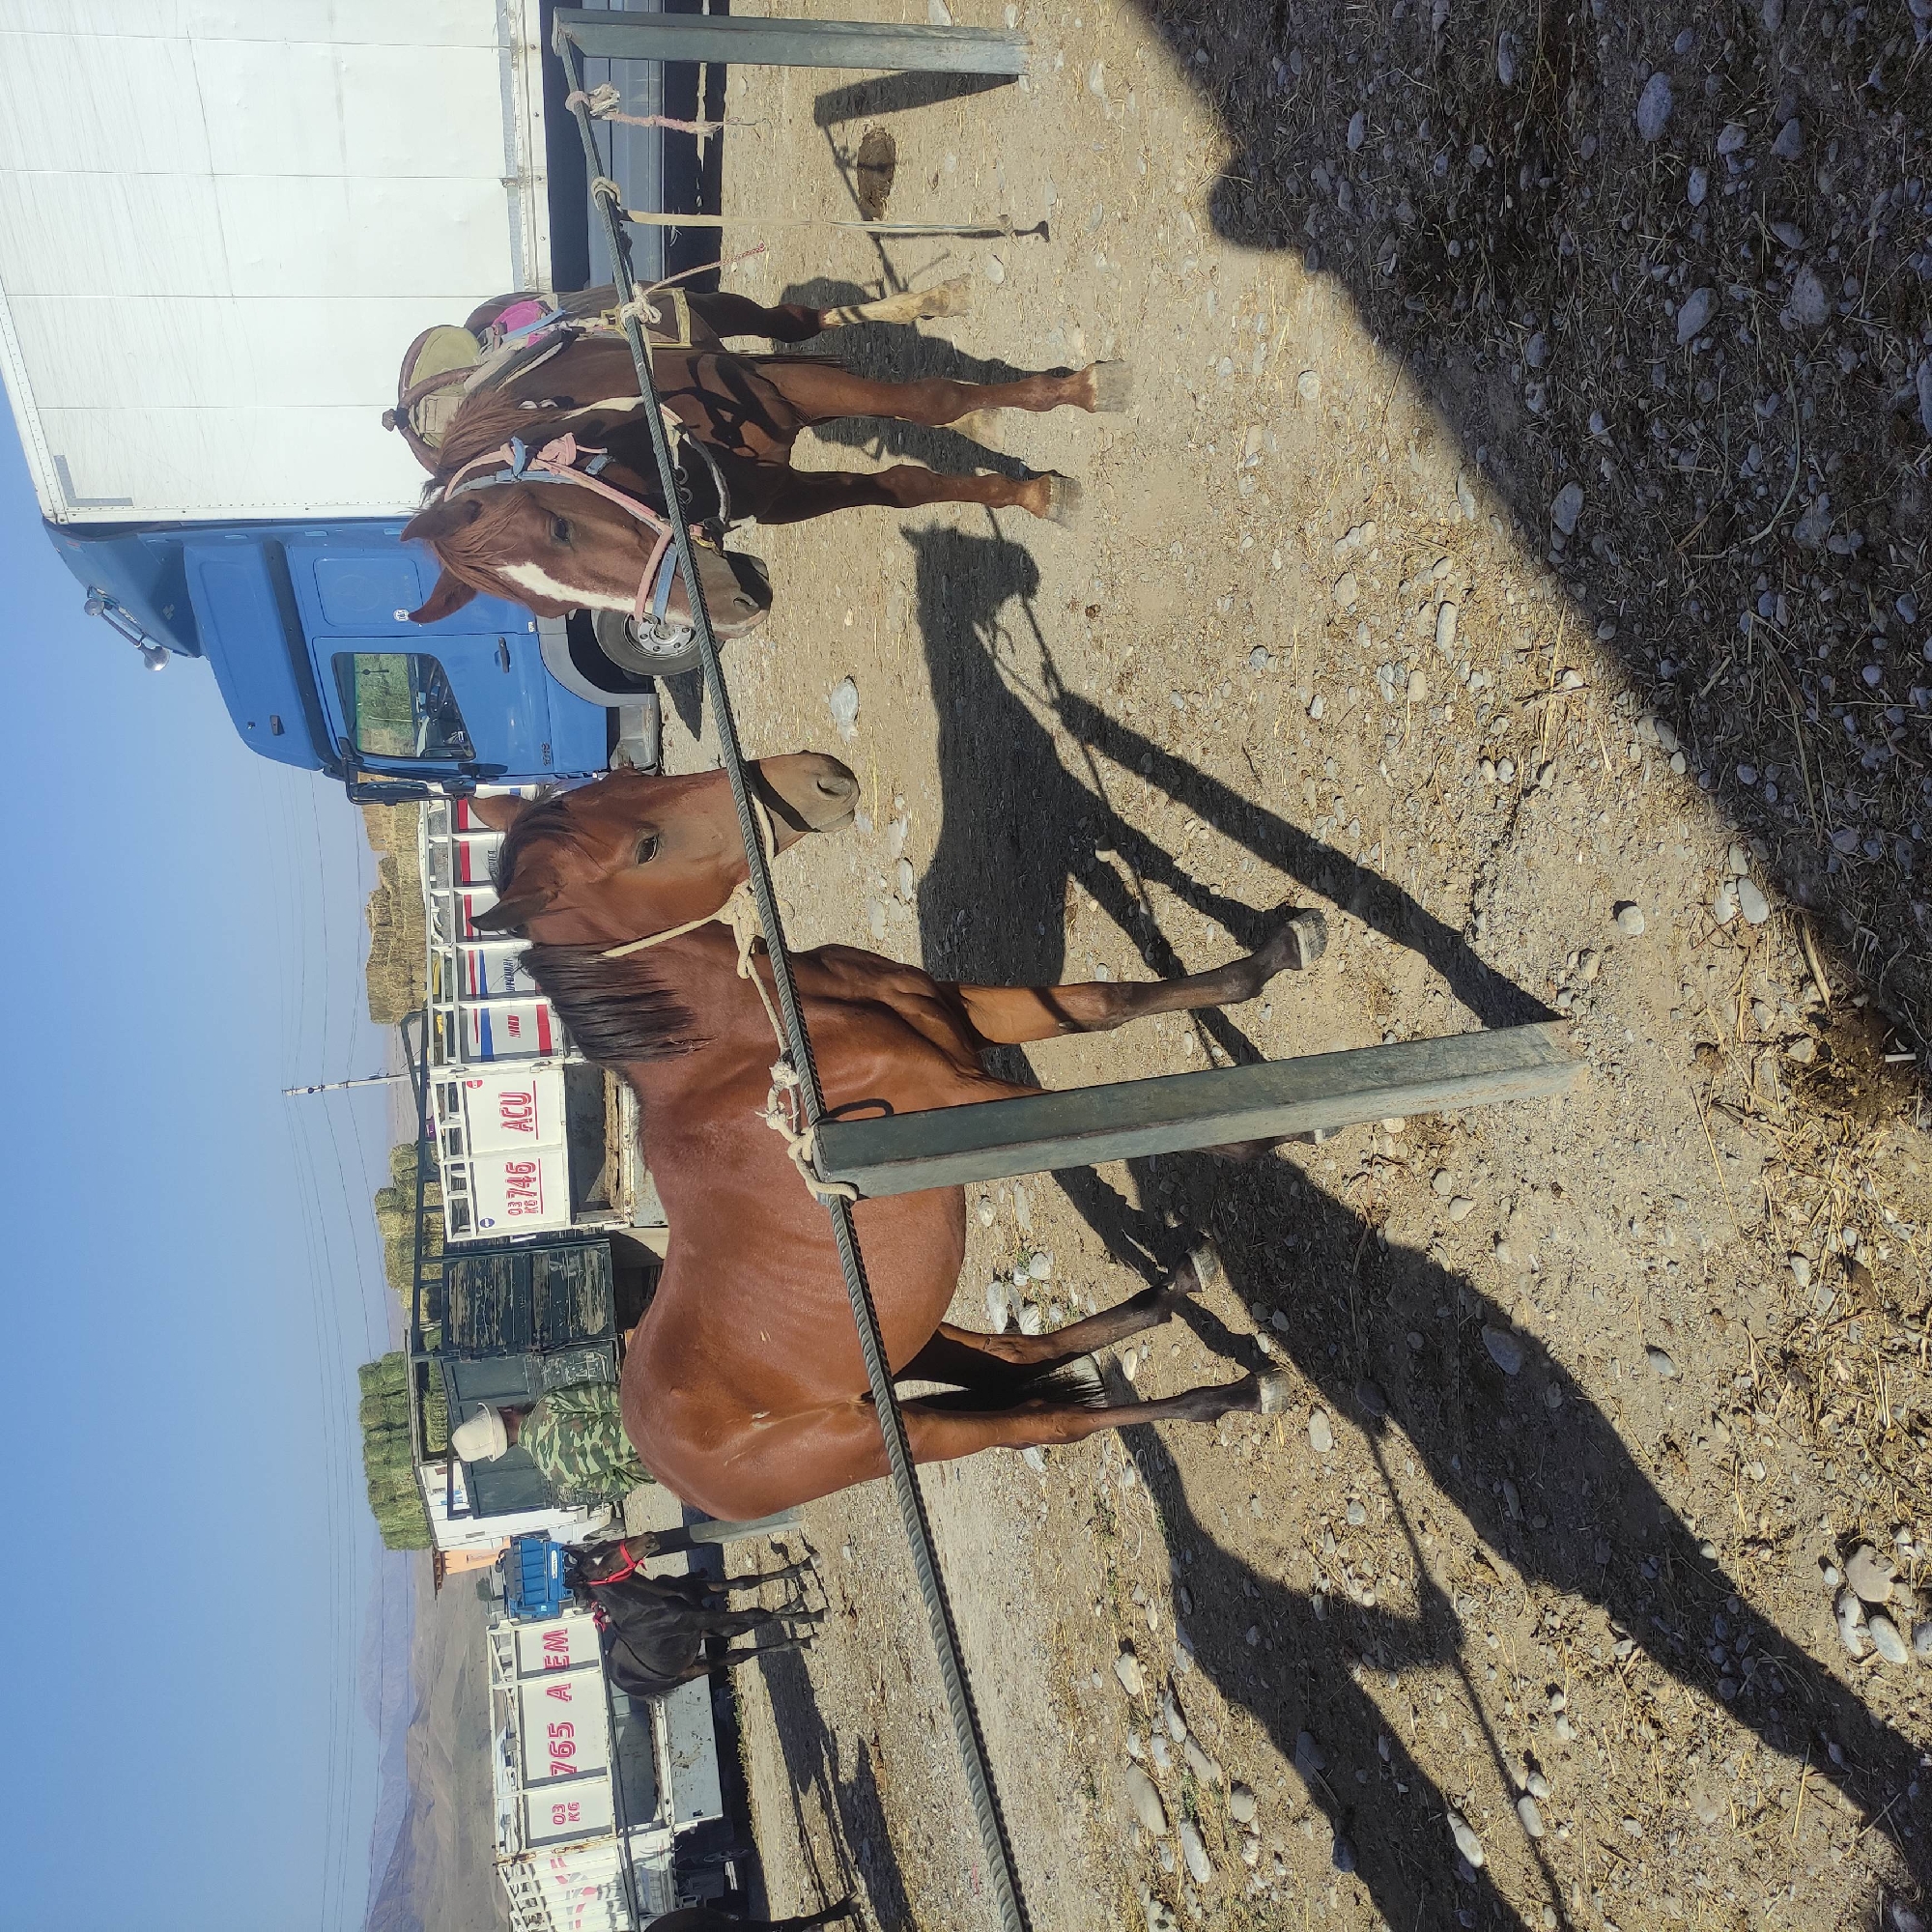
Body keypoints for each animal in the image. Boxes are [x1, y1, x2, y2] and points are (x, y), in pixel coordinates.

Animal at [399, 282, 1129, 637]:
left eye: (558, 528)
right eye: (556, 614)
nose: (735, 609)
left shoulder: (790, 389)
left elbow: (934, 399)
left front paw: (1079, 391)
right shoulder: (783, 491)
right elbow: (904, 484)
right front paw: (1031, 493)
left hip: (720, 309)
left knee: (796, 320)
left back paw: (930, 301)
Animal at [466, 756, 1325, 1520]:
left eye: (629, 779)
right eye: (645, 847)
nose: (821, 776)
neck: (752, 1043)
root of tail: (663, 1455)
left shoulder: (969, 1021)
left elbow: (1109, 1005)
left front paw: (1278, 955)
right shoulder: (959, 1100)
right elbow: (1106, 1115)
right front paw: (1275, 1127)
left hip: (904, 1342)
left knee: (1015, 1358)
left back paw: (1177, 1287)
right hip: (890, 1436)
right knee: (1046, 1421)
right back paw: (1234, 1392)